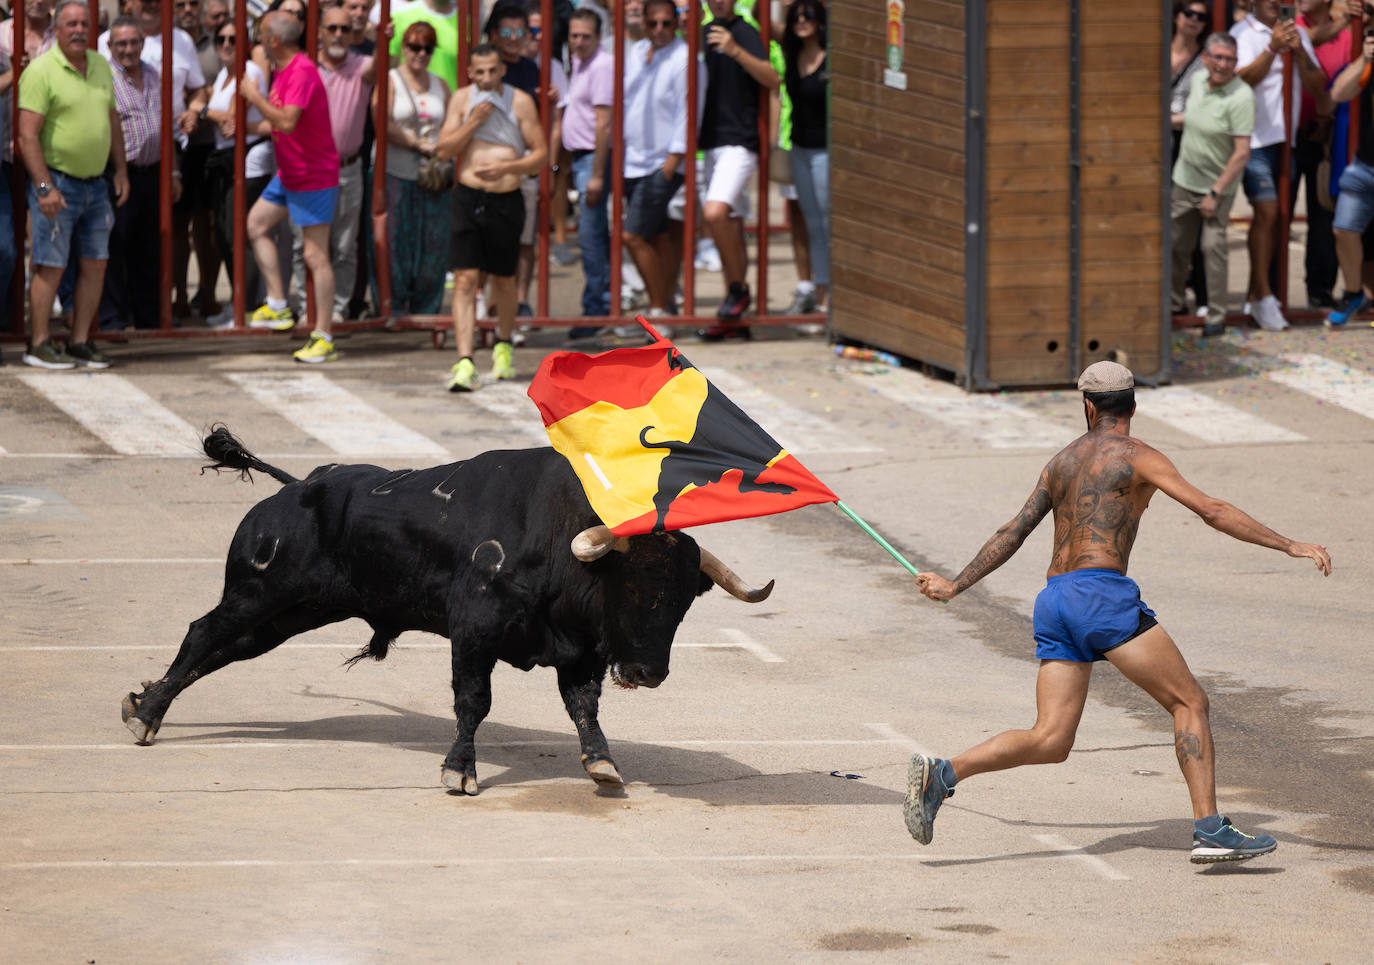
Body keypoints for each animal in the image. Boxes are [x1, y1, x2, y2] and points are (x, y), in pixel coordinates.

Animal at [120, 428, 774, 791]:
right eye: (629, 587)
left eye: (683, 602)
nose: (647, 673)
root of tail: (295, 486)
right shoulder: (474, 632)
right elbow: (473, 701)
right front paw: (459, 771)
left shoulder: (579, 651)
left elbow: (584, 708)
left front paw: (603, 767)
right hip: (259, 592)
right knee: (204, 633)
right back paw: (146, 715)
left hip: (293, 613)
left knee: (224, 649)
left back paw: (141, 702)